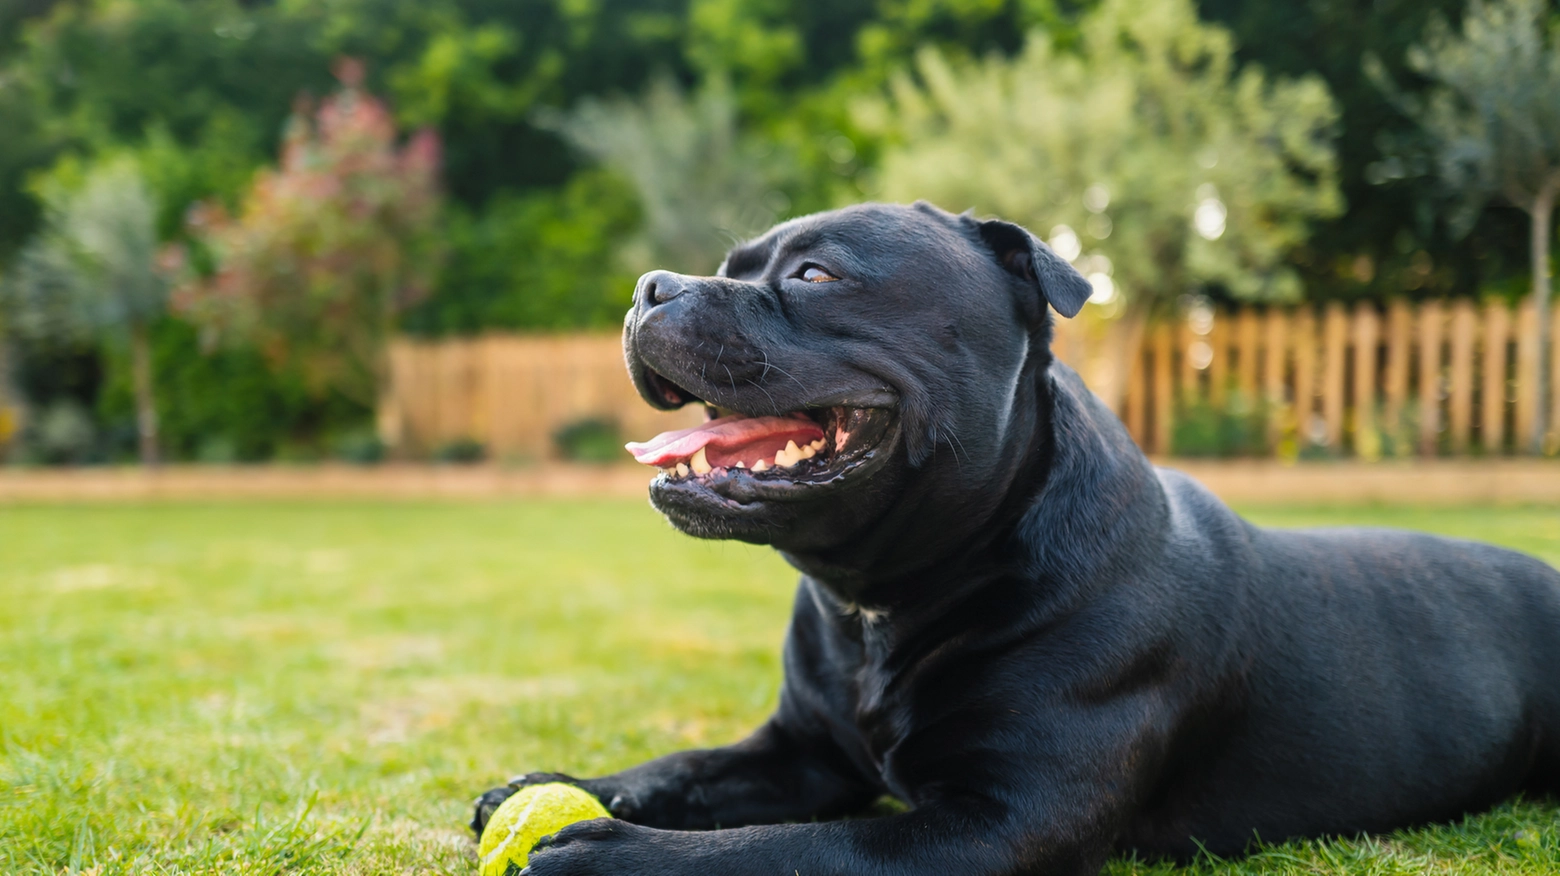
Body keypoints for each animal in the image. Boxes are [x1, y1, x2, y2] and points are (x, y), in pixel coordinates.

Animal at [474, 202, 1560, 872]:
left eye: (816, 274)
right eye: (730, 267)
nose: (651, 285)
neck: (883, 597)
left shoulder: (991, 827)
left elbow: (794, 850)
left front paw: (612, 853)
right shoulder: (799, 754)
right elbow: (688, 768)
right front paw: (565, 786)